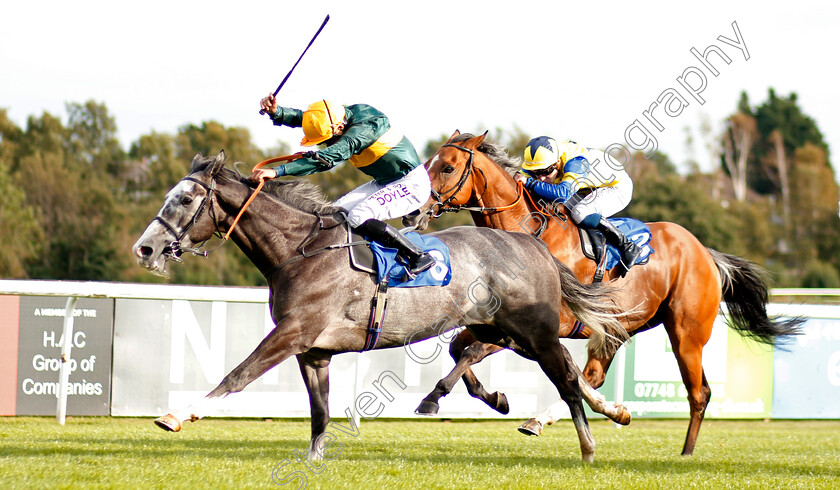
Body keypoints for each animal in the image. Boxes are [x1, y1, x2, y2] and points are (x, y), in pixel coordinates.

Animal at [404, 131, 804, 456]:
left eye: (447, 168)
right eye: (427, 164)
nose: (412, 213)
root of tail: (705, 251)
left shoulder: (541, 325)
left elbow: (472, 352)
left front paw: (434, 397)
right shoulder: (498, 322)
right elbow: (460, 350)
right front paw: (496, 399)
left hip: (686, 334)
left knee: (698, 393)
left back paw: (685, 454)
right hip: (617, 329)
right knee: (595, 375)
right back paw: (550, 419)